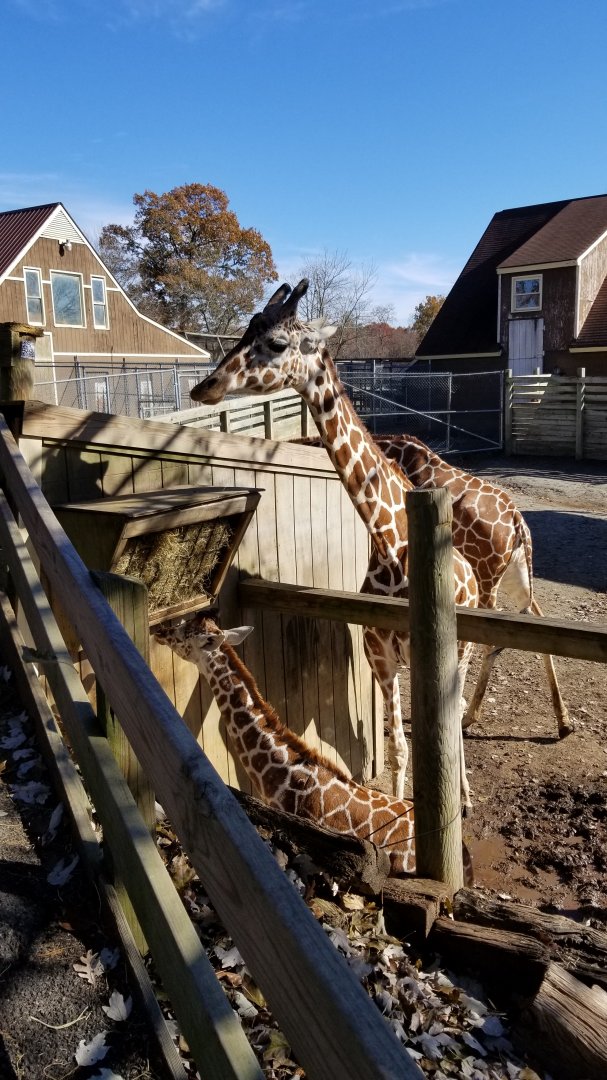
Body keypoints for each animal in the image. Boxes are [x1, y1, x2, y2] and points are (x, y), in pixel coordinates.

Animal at [189, 280, 479, 806]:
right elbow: (398, 747)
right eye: (246, 329)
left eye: (276, 343)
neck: (391, 545)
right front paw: (400, 805)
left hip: (463, 653)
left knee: (460, 709)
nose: (206, 387)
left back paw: (465, 795)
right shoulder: (380, 658)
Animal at [297, 433, 572, 738]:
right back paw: (563, 721)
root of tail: (517, 522)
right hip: (516, 574)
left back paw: (469, 717)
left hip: (487, 578)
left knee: (491, 639)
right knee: (536, 618)